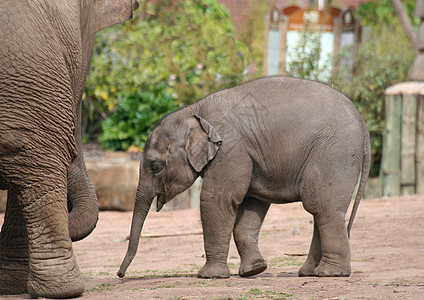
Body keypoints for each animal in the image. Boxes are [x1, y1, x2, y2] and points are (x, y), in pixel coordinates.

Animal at [117, 75, 370, 278]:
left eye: (155, 166)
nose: (120, 274)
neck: (194, 111)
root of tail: (362, 122)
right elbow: (251, 205)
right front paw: (254, 270)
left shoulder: (231, 149)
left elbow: (218, 199)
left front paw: (210, 276)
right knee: (321, 208)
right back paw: (308, 272)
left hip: (334, 153)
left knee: (320, 205)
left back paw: (330, 273)